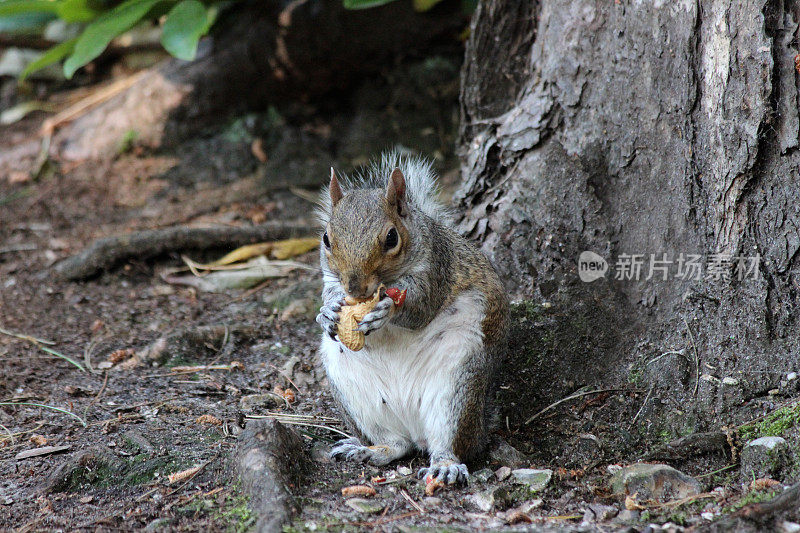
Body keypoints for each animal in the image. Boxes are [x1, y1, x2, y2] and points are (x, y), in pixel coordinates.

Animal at [314, 150, 506, 482]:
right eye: (326, 238)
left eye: (392, 238)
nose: (355, 287)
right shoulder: (331, 278)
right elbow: (329, 294)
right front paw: (326, 312)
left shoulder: (437, 266)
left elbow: (421, 308)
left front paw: (387, 310)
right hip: (352, 390)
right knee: (397, 444)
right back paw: (370, 450)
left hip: (456, 384)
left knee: (449, 441)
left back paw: (445, 464)